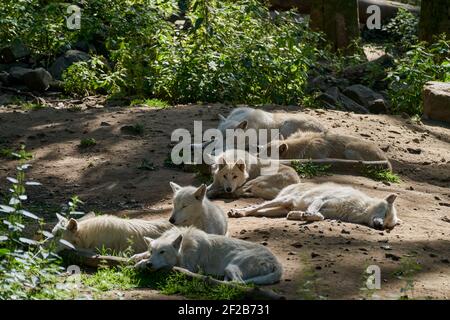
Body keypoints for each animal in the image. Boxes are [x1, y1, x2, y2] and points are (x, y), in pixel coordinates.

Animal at [134, 225, 284, 284]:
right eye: (152, 251)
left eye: (162, 252)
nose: (150, 264)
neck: (185, 247)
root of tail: (277, 263)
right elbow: (141, 255)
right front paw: (137, 259)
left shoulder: (186, 266)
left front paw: (141, 263)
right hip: (229, 269)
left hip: (232, 266)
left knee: (238, 282)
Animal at [229, 182, 400, 230]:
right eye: (385, 214)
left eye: (387, 225)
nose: (380, 227)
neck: (361, 209)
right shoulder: (321, 199)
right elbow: (317, 213)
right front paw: (307, 215)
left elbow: (320, 216)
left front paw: (300, 215)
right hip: (283, 199)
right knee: (255, 207)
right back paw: (237, 212)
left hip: (278, 209)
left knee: (260, 211)